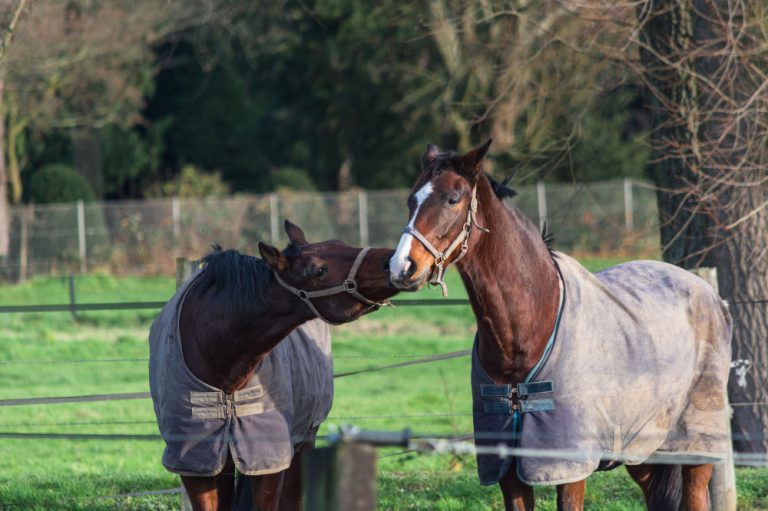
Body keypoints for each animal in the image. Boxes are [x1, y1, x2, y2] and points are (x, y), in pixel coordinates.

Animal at [149, 220, 397, 511]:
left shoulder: (268, 458)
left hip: (304, 439)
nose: (392, 260)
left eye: (342, 244)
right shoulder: (197, 464)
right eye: (319, 269)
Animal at [388, 141, 732, 511]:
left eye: (453, 198)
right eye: (411, 200)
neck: (527, 331)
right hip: (642, 449)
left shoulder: (568, 468)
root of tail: (709, 293)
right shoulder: (509, 471)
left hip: (695, 446)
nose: (401, 267)